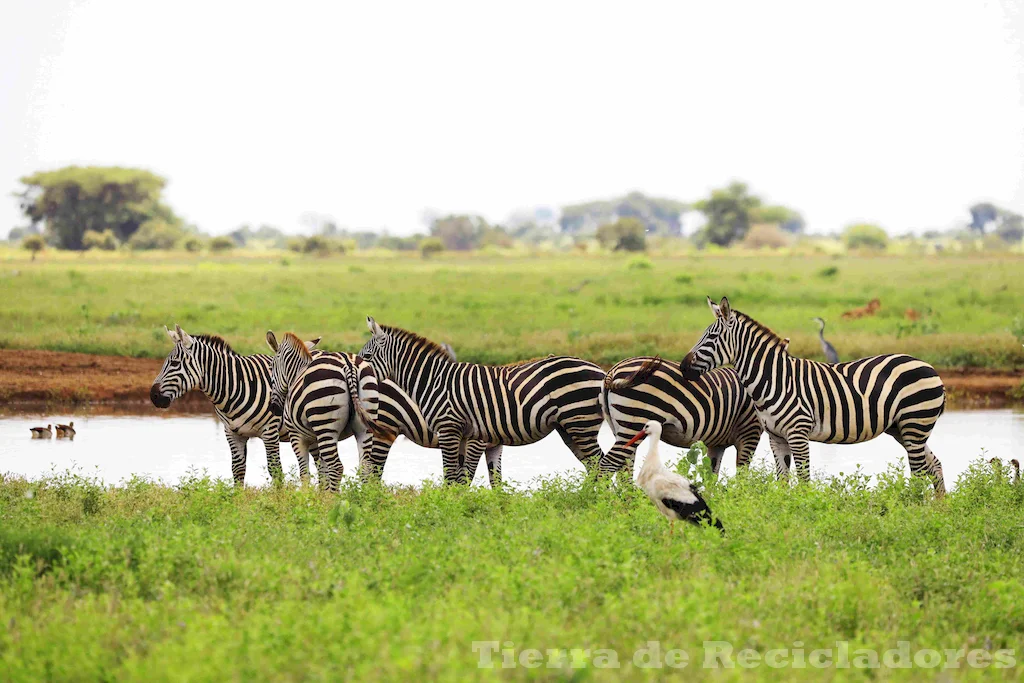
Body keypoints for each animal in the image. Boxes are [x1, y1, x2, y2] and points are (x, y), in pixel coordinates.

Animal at [148, 325, 315, 485]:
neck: (236, 387)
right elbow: (238, 470)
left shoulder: (270, 431)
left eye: (175, 363)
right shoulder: (232, 433)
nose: (153, 396)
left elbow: (275, 470)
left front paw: (279, 495)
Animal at [358, 317, 606, 483]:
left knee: (600, 463)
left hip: (579, 423)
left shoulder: (454, 431)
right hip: (571, 427)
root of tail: (601, 371)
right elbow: (470, 479)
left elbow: (456, 477)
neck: (434, 380)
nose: (358, 374)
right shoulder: (468, 436)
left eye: (367, 356)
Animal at [598, 358, 761, 475]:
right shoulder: (750, 431)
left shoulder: (717, 443)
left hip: (620, 429)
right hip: (634, 423)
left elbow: (711, 476)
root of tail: (613, 370)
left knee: (624, 469)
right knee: (607, 465)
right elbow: (742, 475)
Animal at [675, 296, 946, 493]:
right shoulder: (776, 437)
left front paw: (805, 513)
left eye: (711, 337)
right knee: (934, 465)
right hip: (903, 429)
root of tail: (930, 367)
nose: (683, 368)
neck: (774, 379)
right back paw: (938, 510)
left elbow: (804, 480)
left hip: (915, 424)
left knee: (919, 472)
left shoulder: (798, 433)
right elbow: (782, 481)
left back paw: (914, 509)